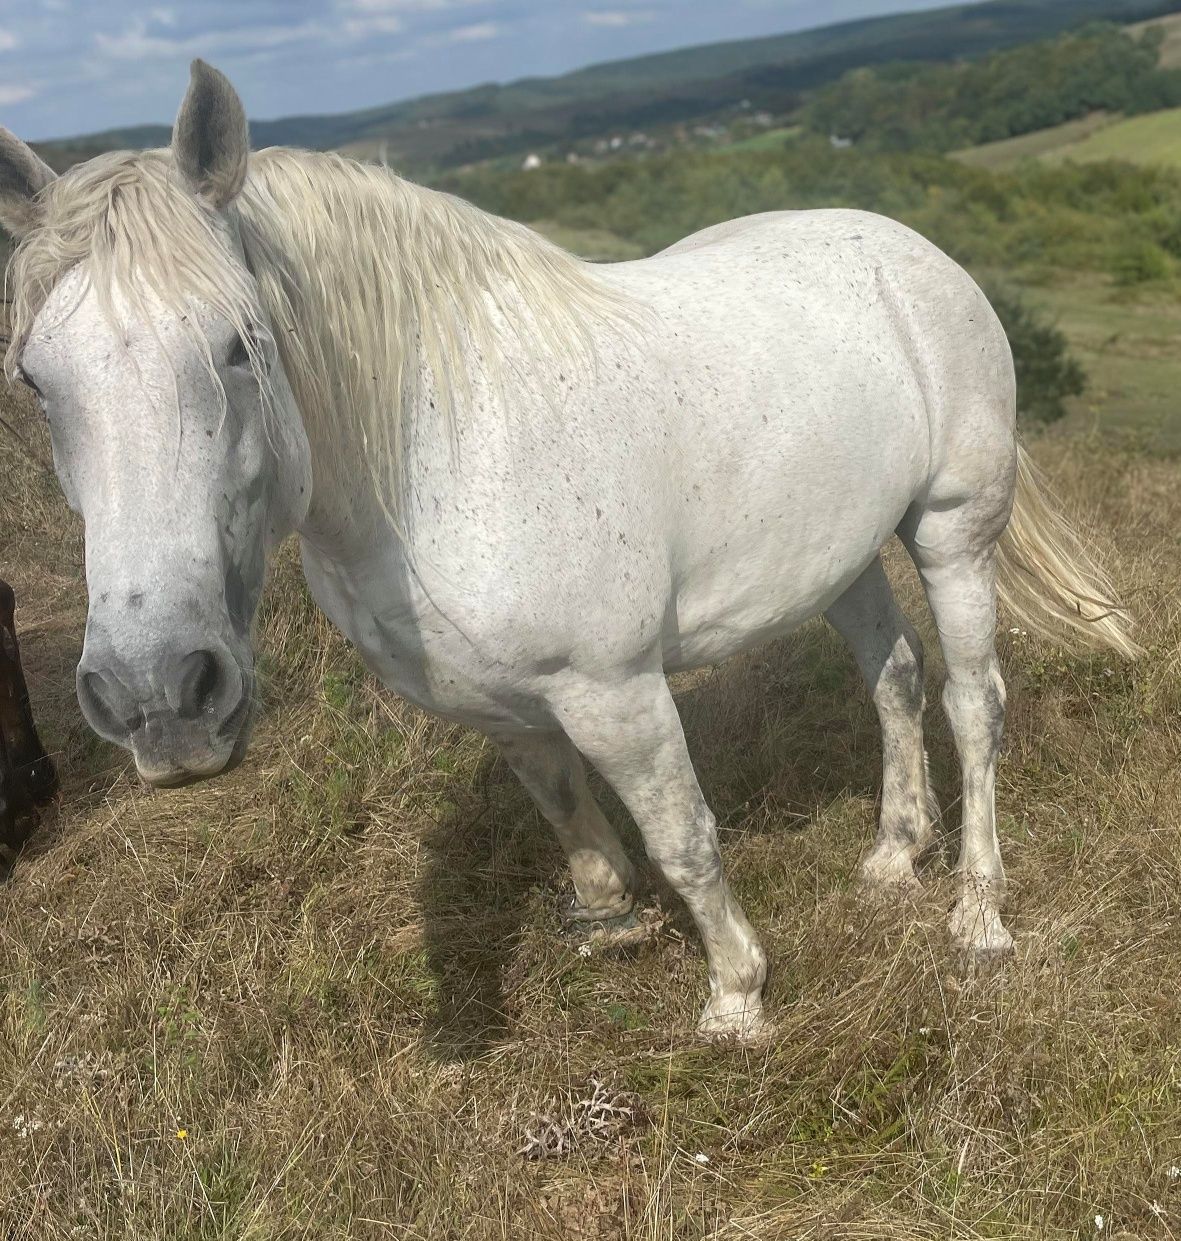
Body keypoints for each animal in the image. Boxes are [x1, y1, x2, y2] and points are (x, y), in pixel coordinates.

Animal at [0, 65, 1136, 1037]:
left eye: (237, 346)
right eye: (34, 380)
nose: (157, 694)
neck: (445, 443)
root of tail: (909, 250)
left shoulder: (614, 690)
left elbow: (682, 833)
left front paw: (736, 996)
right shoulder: (502, 705)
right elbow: (564, 810)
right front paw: (607, 924)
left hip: (950, 531)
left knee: (972, 703)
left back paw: (977, 911)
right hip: (843, 555)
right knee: (894, 679)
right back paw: (895, 855)